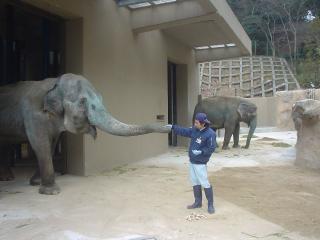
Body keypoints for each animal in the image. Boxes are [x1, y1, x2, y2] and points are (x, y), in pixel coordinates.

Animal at [0, 73, 171, 195]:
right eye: (83, 101)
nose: (169, 125)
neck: (55, 82)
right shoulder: (33, 114)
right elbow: (39, 143)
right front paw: (51, 192)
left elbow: (52, 143)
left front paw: (36, 183)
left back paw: (7, 178)